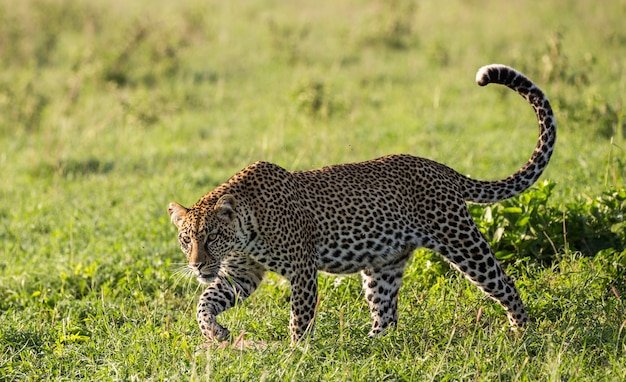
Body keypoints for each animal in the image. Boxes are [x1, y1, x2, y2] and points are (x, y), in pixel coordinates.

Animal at [167, 64, 556, 344]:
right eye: (187, 240)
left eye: (212, 237)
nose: (197, 264)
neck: (248, 227)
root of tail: (439, 167)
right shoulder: (242, 272)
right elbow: (204, 302)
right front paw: (215, 333)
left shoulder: (302, 269)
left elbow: (300, 317)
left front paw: (296, 354)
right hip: (383, 266)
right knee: (387, 315)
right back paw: (369, 347)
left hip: (462, 240)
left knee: (504, 283)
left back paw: (523, 332)